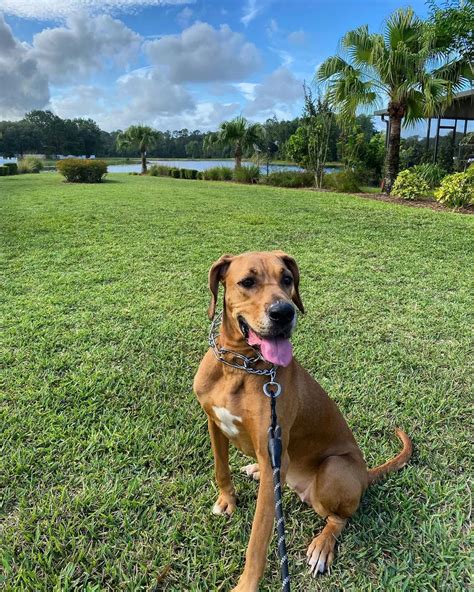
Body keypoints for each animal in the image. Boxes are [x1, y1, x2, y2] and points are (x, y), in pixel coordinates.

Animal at [193, 251, 412, 592]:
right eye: (247, 282)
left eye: (287, 279)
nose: (284, 312)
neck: (238, 367)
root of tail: (365, 475)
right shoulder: (214, 424)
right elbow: (220, 468)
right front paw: (227, 500)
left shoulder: (272, 456)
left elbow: (258, 540)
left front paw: (246, 585)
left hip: (333, 469)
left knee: (339, 518)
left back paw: (323, 546)